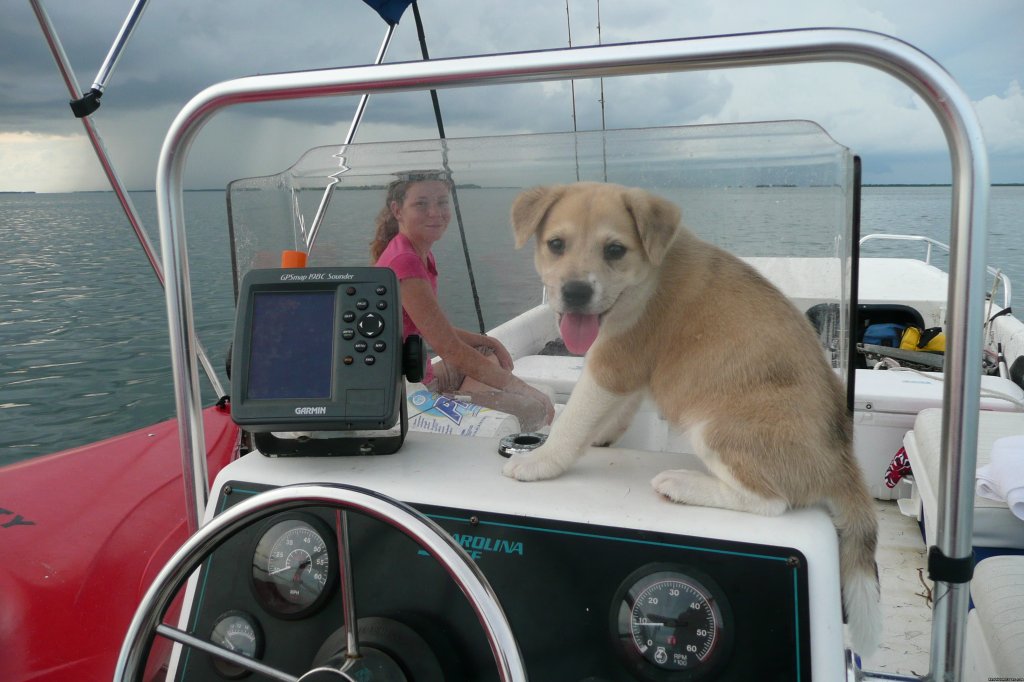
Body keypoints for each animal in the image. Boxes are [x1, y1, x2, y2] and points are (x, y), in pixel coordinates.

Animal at [503, 180, 880, 655]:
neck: (648, 275)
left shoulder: (612, 365)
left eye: (614, 250)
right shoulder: (627, 374)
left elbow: (572, 424)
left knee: (770, 501)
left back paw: (683, 484)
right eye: (556, 244)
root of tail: (843, 463)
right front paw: (602, 438)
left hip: (716, 428)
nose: (574, 293)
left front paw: (539, 461)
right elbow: (614, 415)